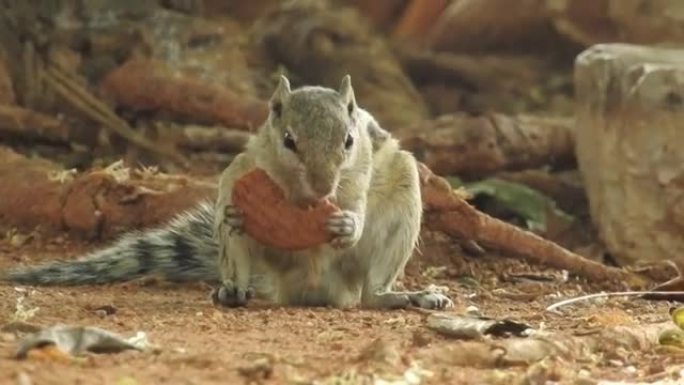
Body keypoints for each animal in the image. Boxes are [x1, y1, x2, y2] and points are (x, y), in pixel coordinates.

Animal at [1, 76, 454, 310]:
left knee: (371, 294)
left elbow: (355, 206)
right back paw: (231, 292)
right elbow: (228, 199)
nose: (324, 187)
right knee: (238, 268)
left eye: (349, 139)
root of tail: (312, 290)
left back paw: (405, 297)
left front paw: (346, 224)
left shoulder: (359, 173)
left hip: (401, 199)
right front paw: (233, 215)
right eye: (287, 140)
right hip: (242, 258)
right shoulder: (241, 167)